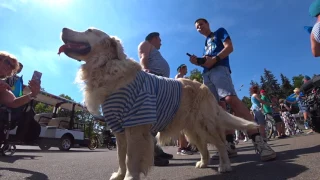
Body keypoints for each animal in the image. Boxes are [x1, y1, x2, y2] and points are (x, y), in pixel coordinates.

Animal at [57, 27, 258, 180]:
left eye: (89, 31)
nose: (63, 29)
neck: (106, 68)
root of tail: (204, 87)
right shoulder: (119, 130)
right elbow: (120, 157)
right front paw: (119, 175)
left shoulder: (135, 126)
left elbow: (130, 158)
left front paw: (130, 177)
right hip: (192, 129)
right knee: (203, 147)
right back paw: (203, 163)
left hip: (205, 123)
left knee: (221, 143)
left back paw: (225, 165)